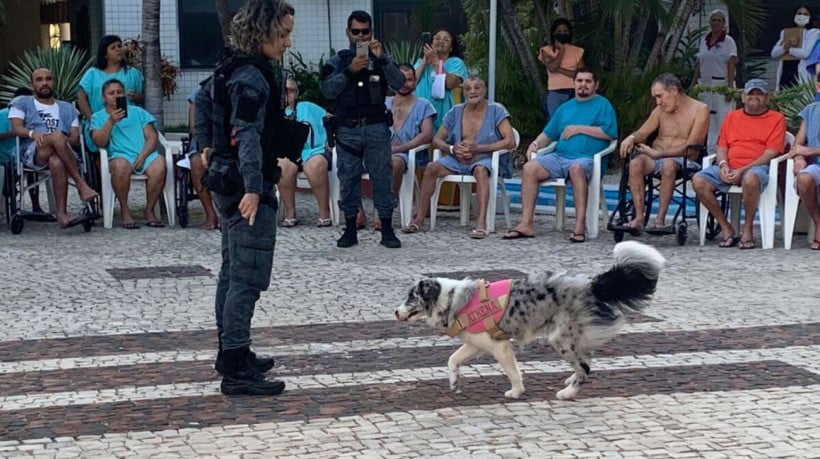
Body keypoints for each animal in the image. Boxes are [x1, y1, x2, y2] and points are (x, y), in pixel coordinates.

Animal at [392, 243, 668, 400]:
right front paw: (454, 381)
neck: (451, 299)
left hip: (560, 339)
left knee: (585, 367)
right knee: (585, 360)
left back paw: (568, 392)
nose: (395, 312)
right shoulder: (475, 344)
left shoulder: (499, 345)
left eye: (411, 296)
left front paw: (516, 392)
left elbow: (513, 372)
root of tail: (591, 285)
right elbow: (452, 359)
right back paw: (570, 380)